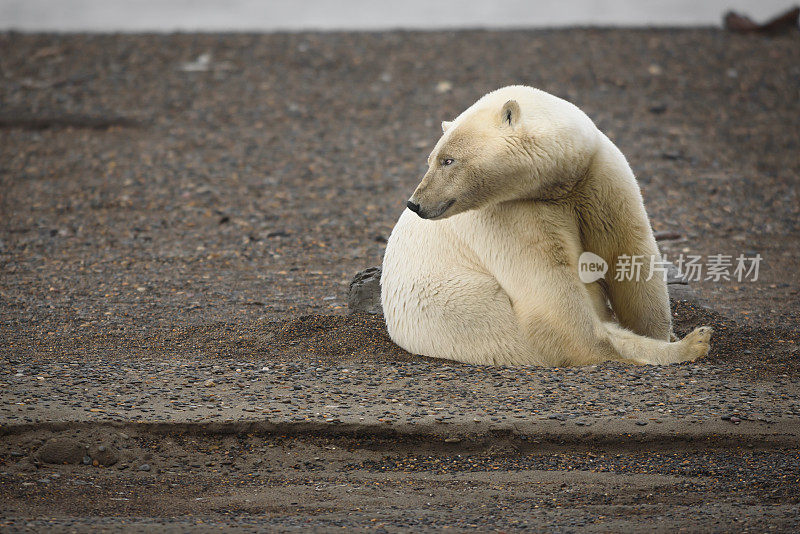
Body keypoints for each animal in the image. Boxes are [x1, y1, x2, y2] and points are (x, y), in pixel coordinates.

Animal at [382, 86, 712, 368]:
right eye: (432, 159)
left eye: (447, 160)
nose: (415, 203)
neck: (559, 183)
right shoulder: (511, 214)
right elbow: (555, 305)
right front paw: (676, 345)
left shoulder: (598, 176)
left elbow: (627, 253)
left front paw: (663, 332)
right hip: (488, 327)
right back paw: (693, 343)